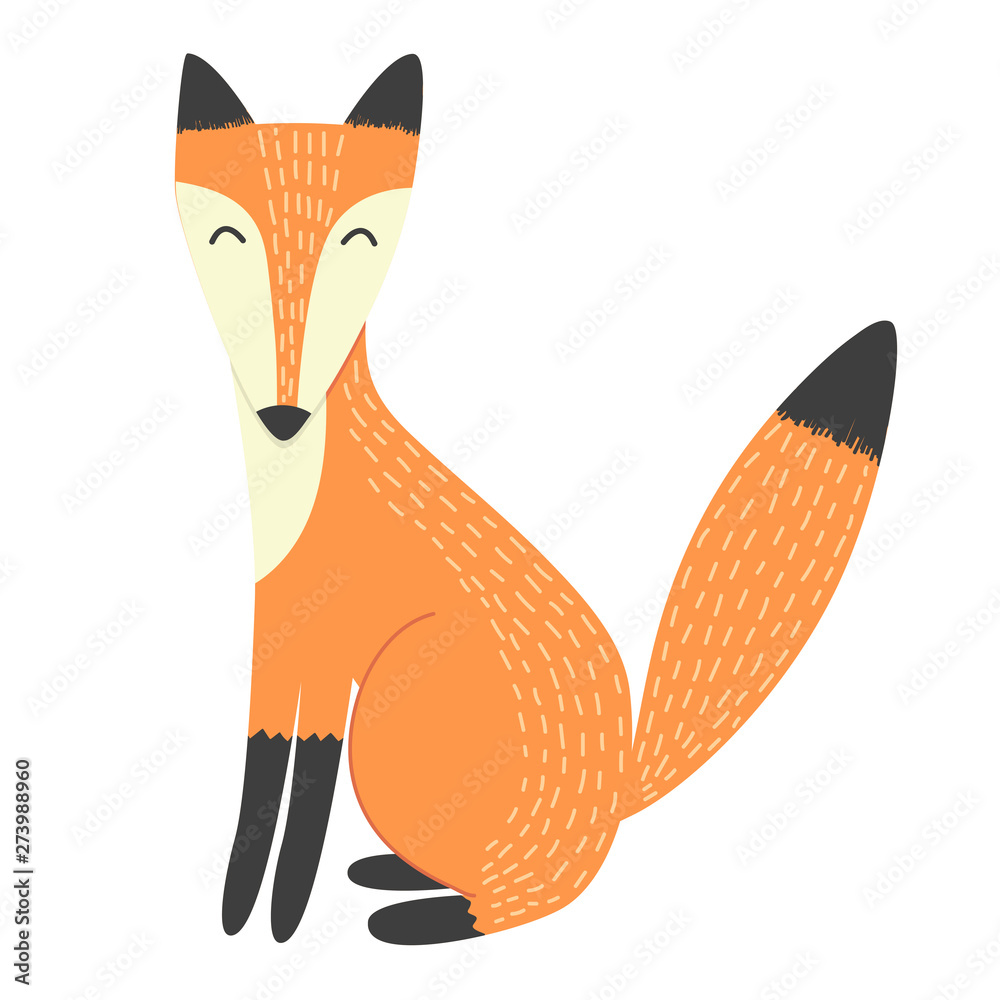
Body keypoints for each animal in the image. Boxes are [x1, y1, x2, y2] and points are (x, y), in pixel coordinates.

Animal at [174, 53, 897, 945]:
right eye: (226, 239)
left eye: (359, 242)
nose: (284, 414)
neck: (299, 488)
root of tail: (620, 791)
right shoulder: (281, 627)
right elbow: (263, 762)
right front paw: (247, 907)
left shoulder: (335, 646)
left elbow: (295, 778)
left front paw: (275, 913)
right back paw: (397, 874)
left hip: (400, 684)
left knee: (538, 895)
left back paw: (425, 916)